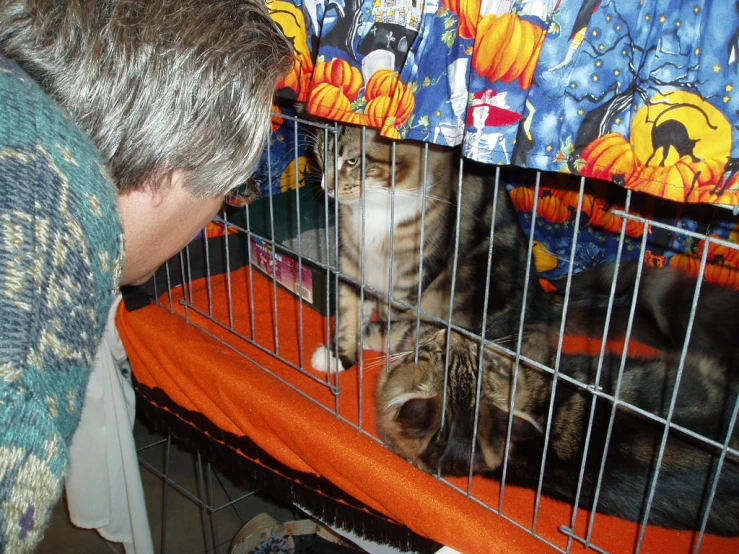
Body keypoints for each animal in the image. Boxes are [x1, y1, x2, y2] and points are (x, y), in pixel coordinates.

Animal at [310, 126, 552, 370]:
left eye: (352, 161)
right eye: (320, 155)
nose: (326, 188)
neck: (372, 205)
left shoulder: (412, 271)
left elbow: (393, 319)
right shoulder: (353, 258)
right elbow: (350, 311)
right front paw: (339, 356)